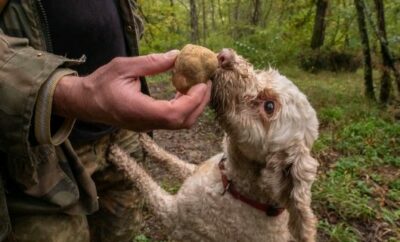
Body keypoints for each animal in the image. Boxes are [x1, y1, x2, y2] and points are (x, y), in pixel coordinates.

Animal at [108, 48, 318, 241]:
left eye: (269, 106)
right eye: (263, 73)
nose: (225, 56)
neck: (231, 182)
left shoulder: (172, 213)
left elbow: (143, 180)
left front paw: (118, 153)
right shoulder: (193, 170)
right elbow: (169, 159)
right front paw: (144, 139)